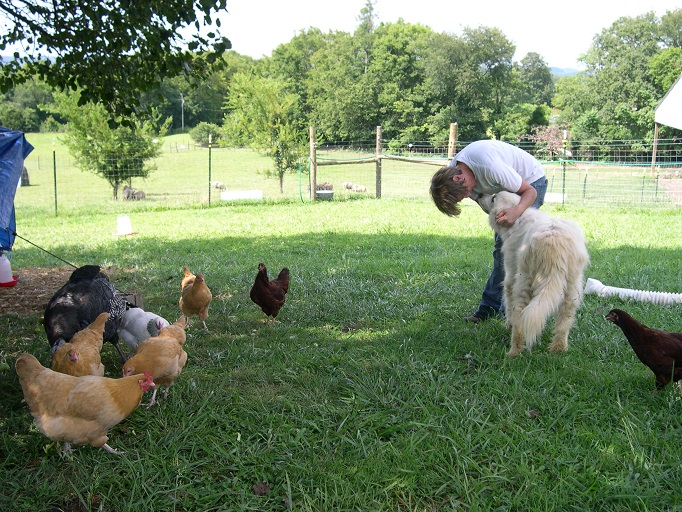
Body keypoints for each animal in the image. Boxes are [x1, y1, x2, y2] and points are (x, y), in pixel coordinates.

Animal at [480, 191, 588, 356]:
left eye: (493, 198)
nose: (479, 194)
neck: (518, 217)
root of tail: (554, 242)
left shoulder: (510, 275)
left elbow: (508, 300)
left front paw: (508, 324)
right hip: (572, 288)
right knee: (564, 321)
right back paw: (559, 349)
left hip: (524, 281)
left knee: (519, 315)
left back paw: (514, 352)